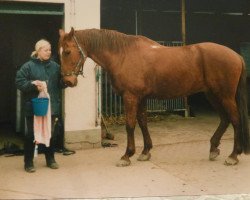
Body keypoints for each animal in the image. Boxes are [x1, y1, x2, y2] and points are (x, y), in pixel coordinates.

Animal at [59, 27, 250, 166]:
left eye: (67, 51)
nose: (67, 81)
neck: (123, 55)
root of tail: (236, 55)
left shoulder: (130, 97)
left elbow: (130, 125)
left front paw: (126, 155)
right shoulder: (141, 98)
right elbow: (143, 122)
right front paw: (145, 152)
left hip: (225, 96)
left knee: (235, 119)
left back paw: (233, 155)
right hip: (212, 95)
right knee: (225, 119)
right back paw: (214, 149)